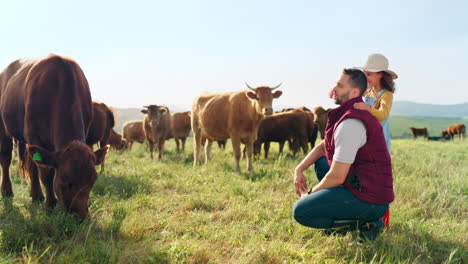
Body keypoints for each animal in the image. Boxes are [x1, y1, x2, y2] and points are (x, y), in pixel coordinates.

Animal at [0, 54, 108, 218]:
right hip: (4, 126)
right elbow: (46, 174)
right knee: (6, 158)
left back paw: (36, 195)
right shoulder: (36, 138)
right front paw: (50, 205)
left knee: (31, 164)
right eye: (64, 179)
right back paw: (7, 191)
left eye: (93, 180)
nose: (80, 216)